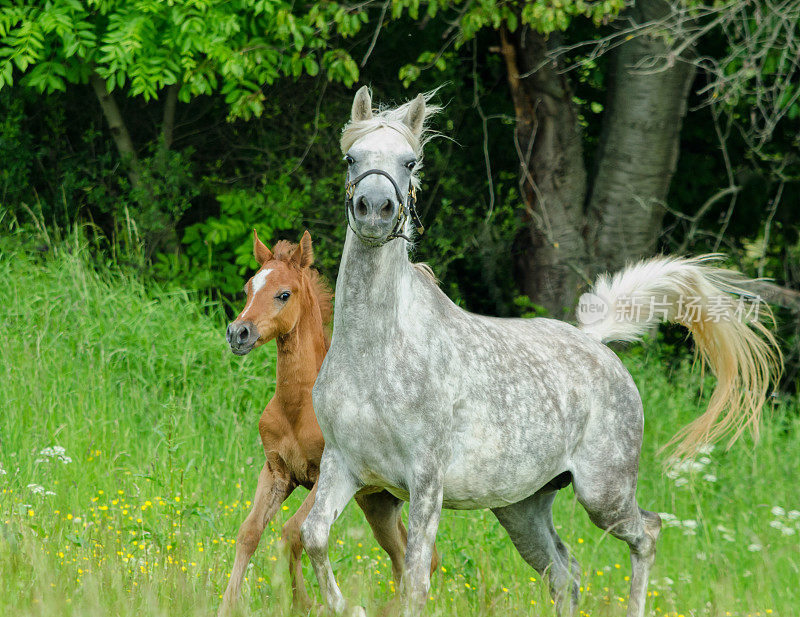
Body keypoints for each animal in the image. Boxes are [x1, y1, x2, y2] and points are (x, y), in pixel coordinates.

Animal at [219, 229, 432, 612]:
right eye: (248, 288)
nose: (238, 333)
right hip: (378, 503)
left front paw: (305, 603)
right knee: (403, 558)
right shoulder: (276, 472)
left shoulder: (324, 474)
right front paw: (226, 605)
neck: (296, 407)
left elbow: (291, 532)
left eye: (284, 294)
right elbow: (249, 532)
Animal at [300, 88, 780, 616]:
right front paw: (348, 606)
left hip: (603, 494)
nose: (375, 209)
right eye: (352, 158)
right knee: (566, 573)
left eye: (410, 162)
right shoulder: (343, 464)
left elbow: (415, 581)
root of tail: (596, 343)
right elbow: (314, 536)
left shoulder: (426, 481)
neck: (377, 353)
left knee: (647, 534)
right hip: (521, 507)